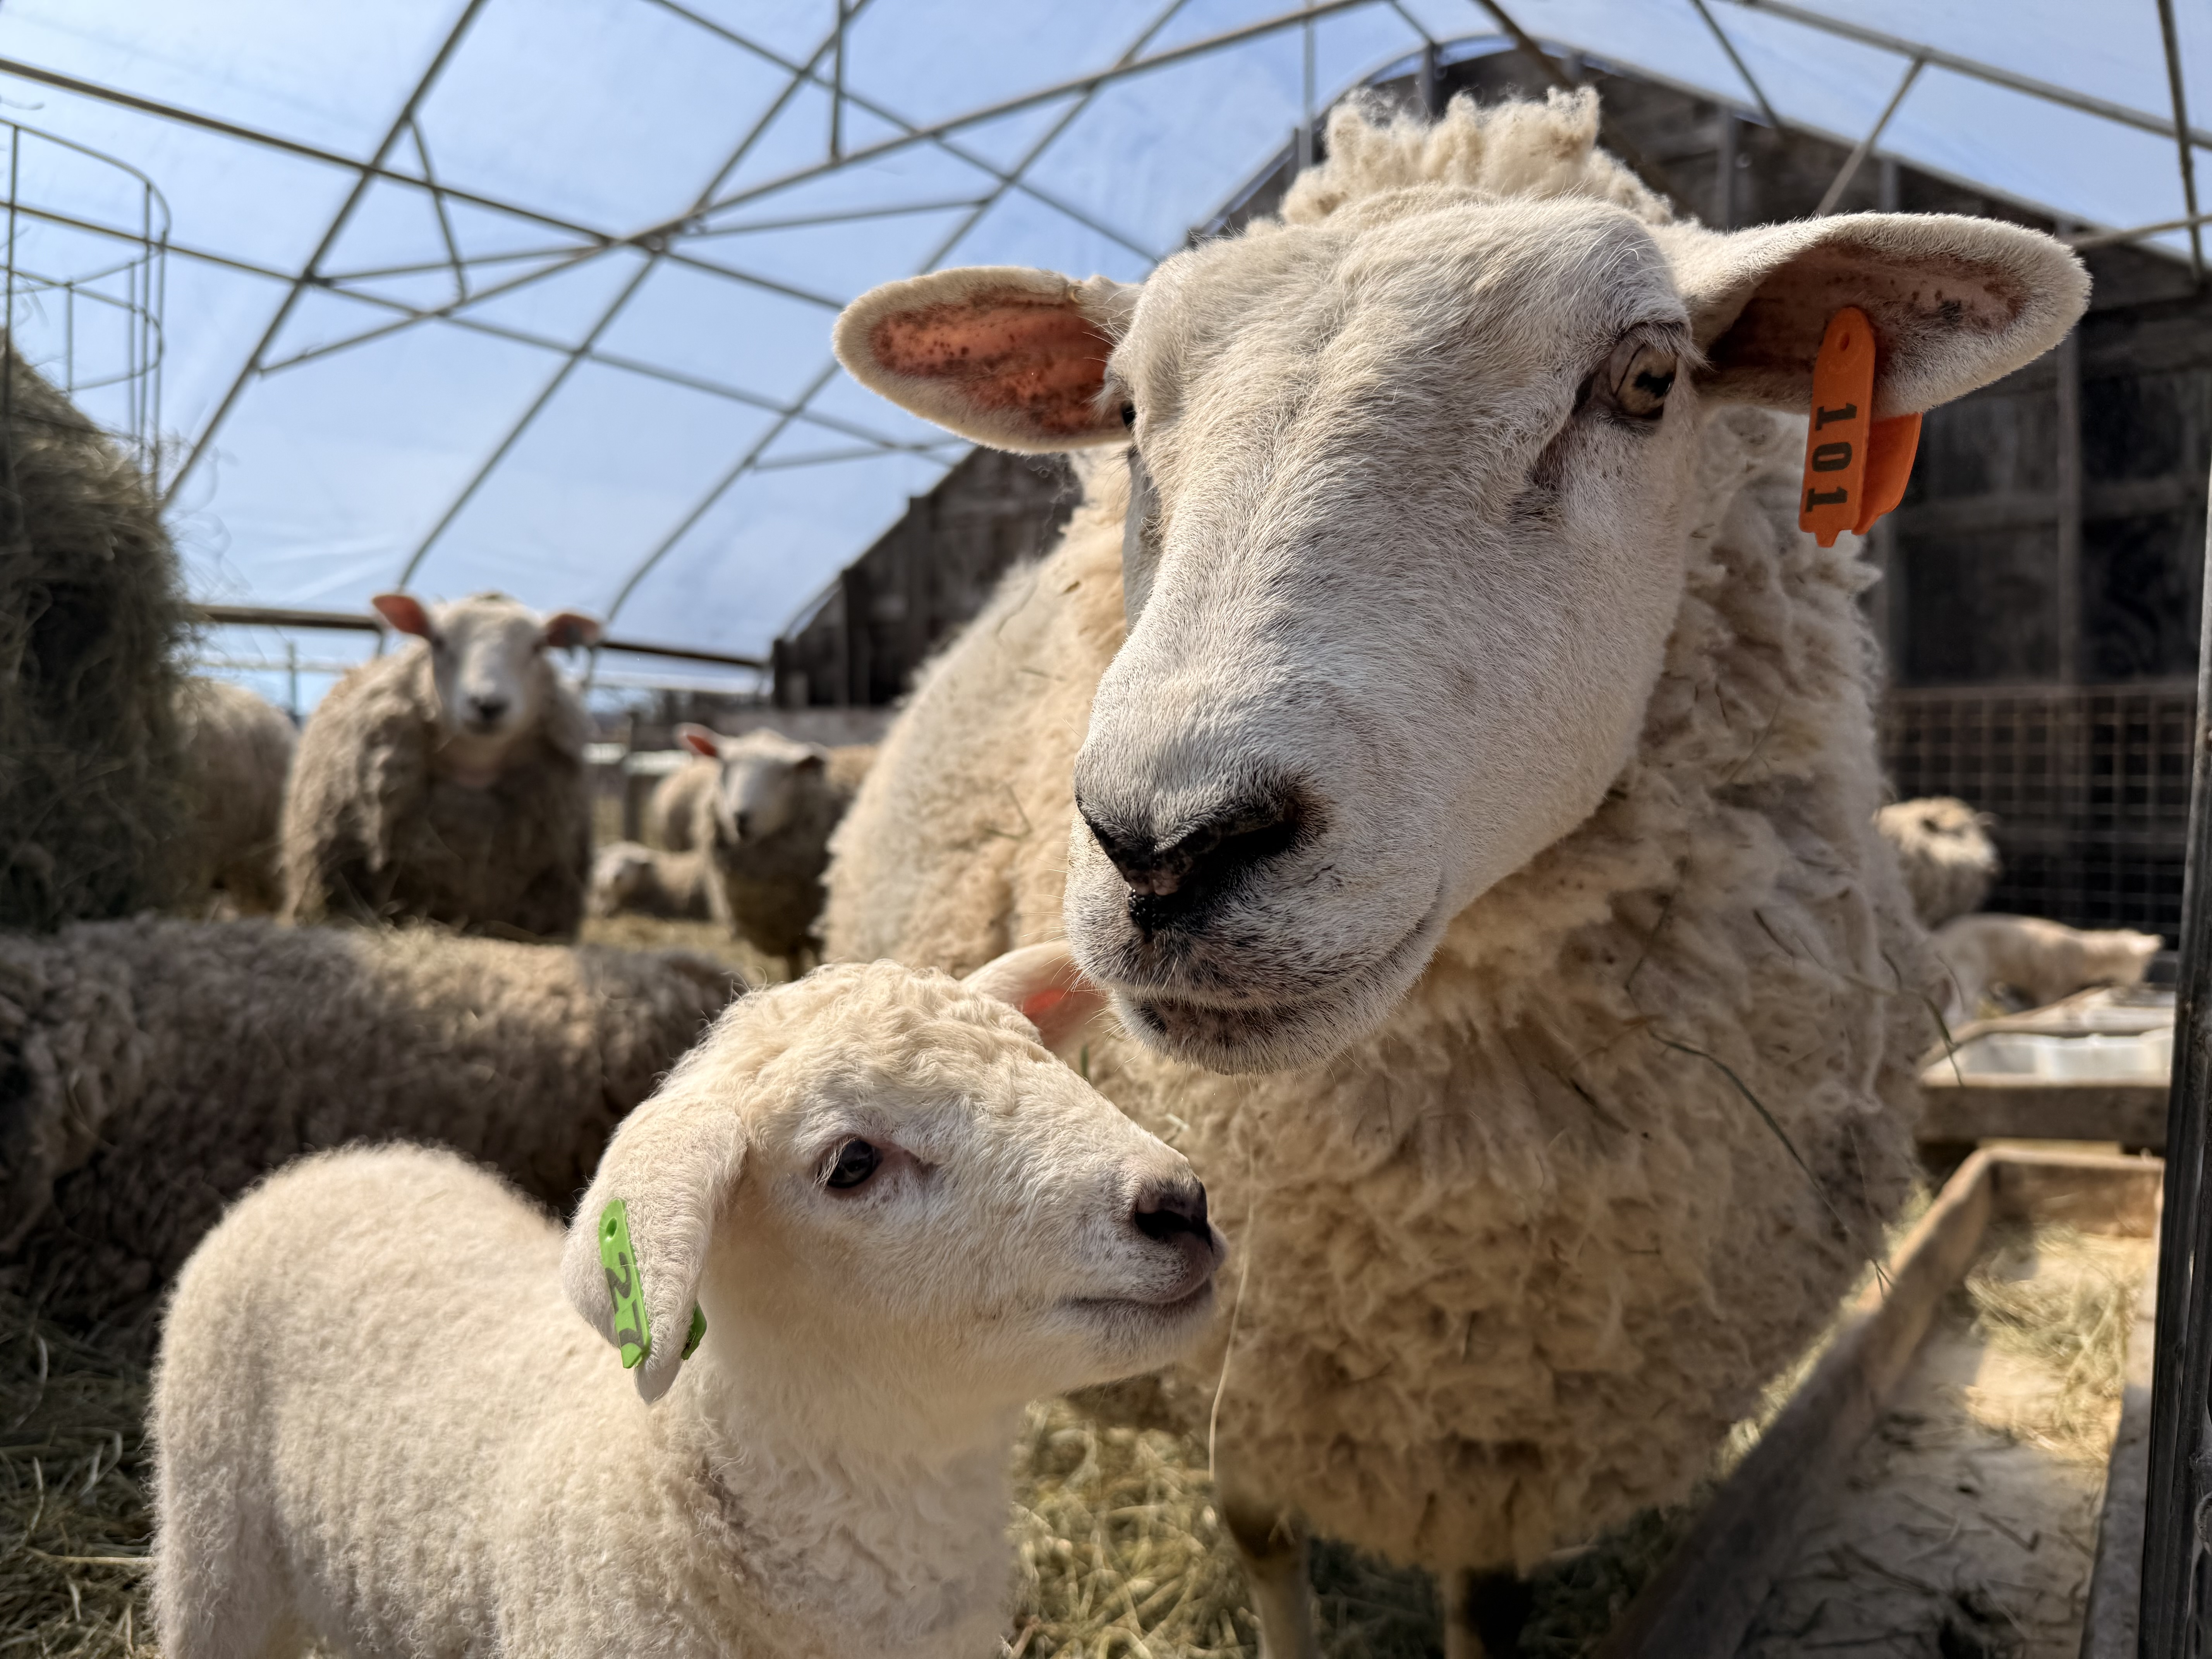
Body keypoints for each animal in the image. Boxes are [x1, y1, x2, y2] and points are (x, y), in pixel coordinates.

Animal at [678, 724, 874, 974]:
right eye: (725, 765)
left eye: (784, 774)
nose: (740, 818)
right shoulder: (785, 932)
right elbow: (794, 969)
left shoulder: (819, 930)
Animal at [1931, 913, 2162, 1028]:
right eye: (2146, 965)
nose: (2141, 988)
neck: (2085, 956)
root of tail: (1940, 941)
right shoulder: (2049, 987)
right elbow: (2043, 1006)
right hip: (1966, 973)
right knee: (1959, 1012)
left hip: (1947, 981)